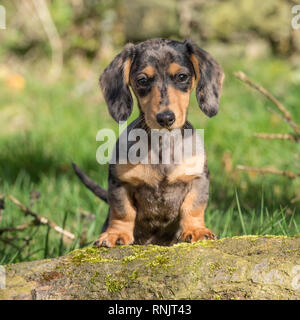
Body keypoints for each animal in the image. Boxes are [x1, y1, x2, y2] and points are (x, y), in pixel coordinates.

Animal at [82, 38, 225, 248]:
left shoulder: (198, 178)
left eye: (182, 76)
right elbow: (122, 211)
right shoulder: (119, 182)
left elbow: (193, 206)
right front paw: (116, 234)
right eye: (142, 80)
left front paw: (196, 230)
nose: (165, 118)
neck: (162, 144)